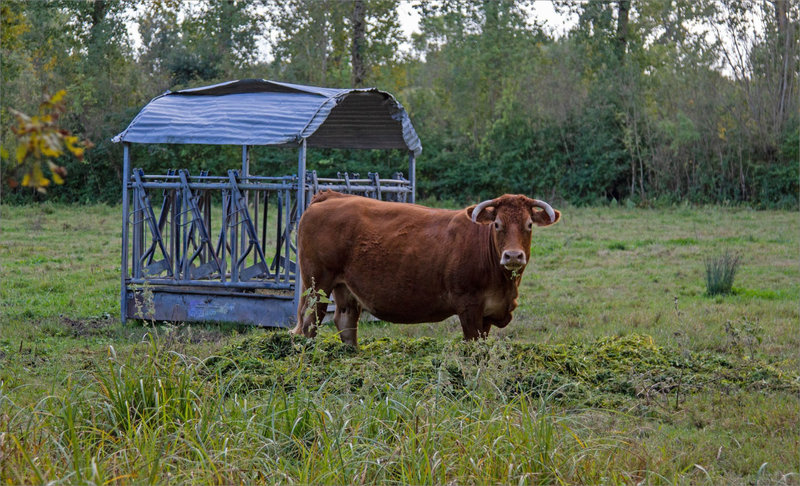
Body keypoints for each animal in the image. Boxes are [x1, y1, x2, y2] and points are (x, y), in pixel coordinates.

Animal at [290, 190, 560, 346]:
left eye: (528, 225)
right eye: (497, 224)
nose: (513, 255)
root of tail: (332, 195)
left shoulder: (488, 313)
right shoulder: (468, 306)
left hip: (344, 287)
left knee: (346, 323)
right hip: (317, 284)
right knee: (310, 323)